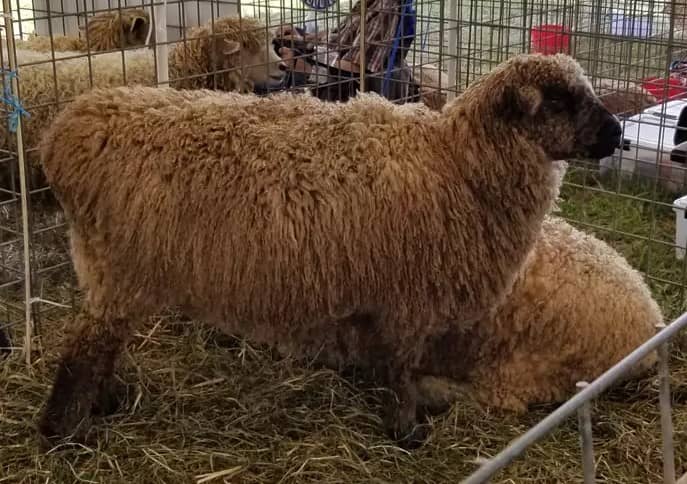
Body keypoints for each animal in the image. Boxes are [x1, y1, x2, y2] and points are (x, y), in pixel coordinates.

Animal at [36, 53, 622, 447]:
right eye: (560, 100)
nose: (618, 134)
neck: (455, 163)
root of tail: (70, 130)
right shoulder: (407, 299)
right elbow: (400, 370)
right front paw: (406, 432)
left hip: (113, 269)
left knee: (102, 343)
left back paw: (104, 402)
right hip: (118, 268)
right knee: (84, 349)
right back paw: (65, 432)